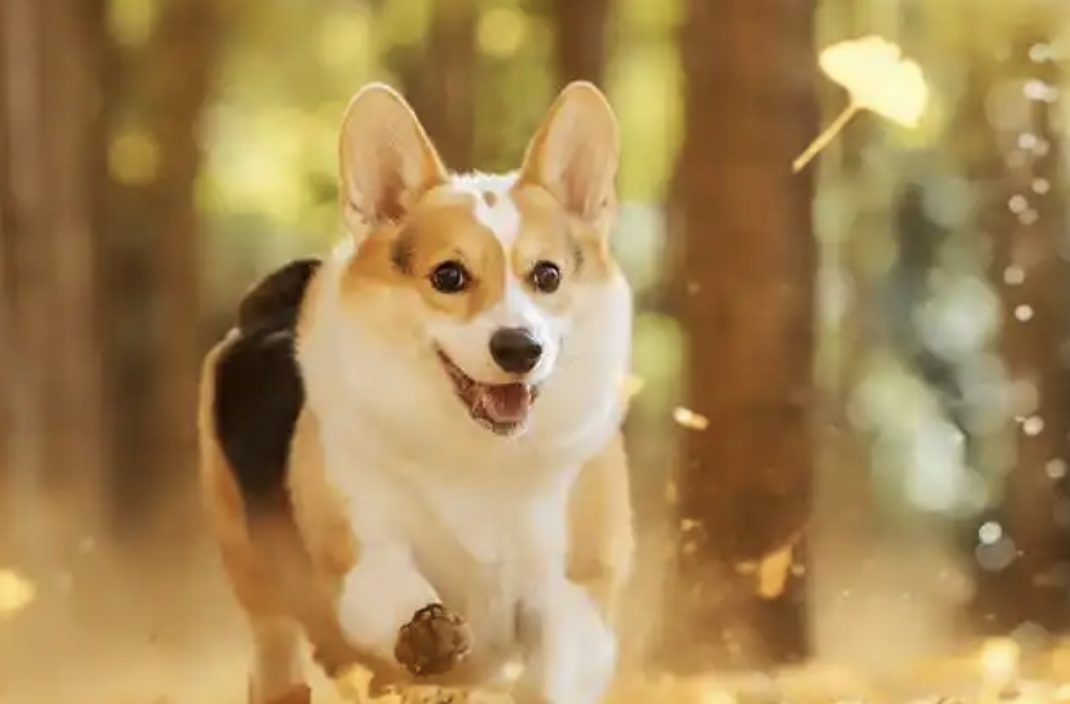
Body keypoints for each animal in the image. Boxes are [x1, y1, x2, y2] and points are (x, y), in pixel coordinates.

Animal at [196, 82, 633, 701]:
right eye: (448, 276)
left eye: (547, 275)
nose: (519, 348)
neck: (482, 455)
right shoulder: (360, 559)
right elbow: (393, 589)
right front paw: (427, 632)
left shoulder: (578, 593)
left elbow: (558, 664)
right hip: (259, 588)